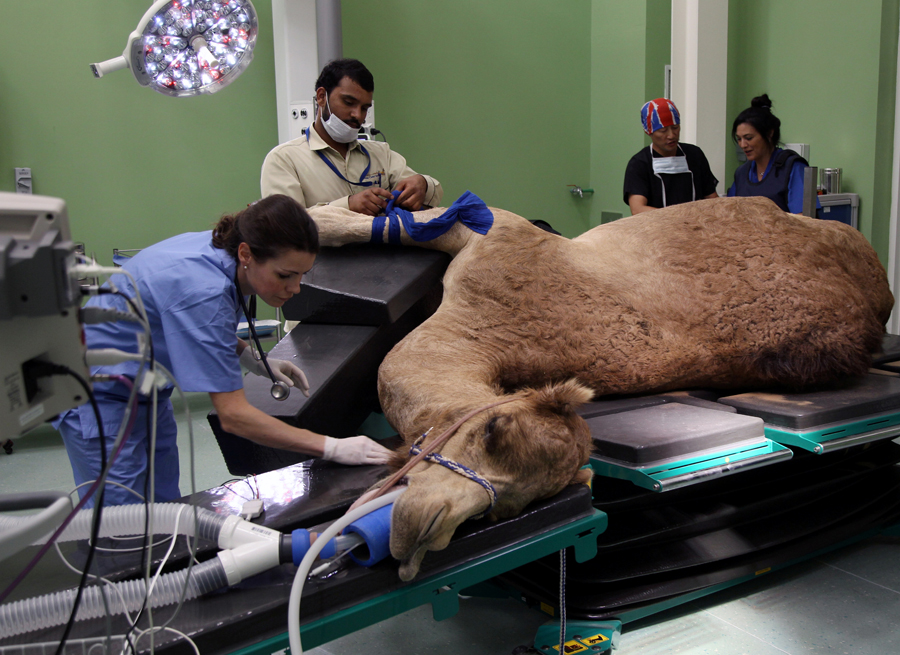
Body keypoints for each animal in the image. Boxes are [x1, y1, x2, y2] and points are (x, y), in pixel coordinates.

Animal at [310, 196, 892, 580]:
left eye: (502, 510)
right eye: (493, 428)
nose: (425, 529)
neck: (485, 336)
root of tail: (878, 292)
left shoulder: (498, 246)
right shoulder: (500, 235)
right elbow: (408, 216)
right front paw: (319, 211)